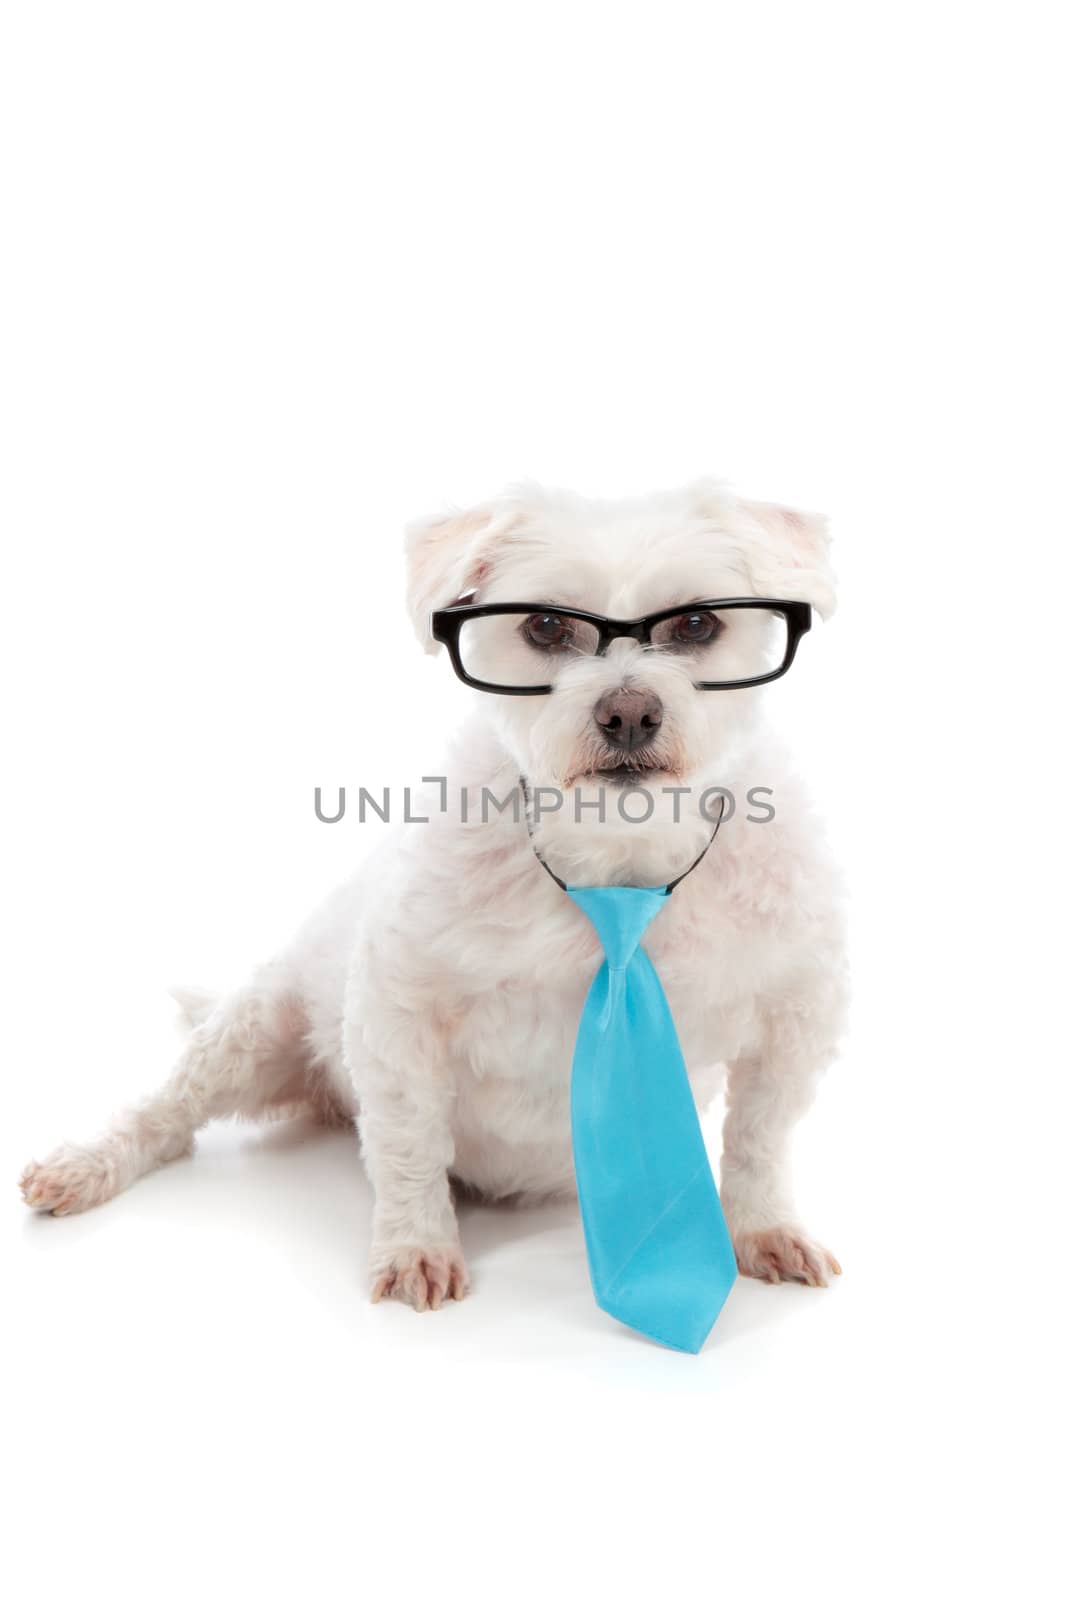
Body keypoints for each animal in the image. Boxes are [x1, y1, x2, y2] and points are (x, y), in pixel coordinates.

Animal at [19, 483, 845, 1312]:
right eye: (546, 625)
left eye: (698, 623)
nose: (629, 713)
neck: (616, 862)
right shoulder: (400, 1012)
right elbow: (409, 1142)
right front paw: (417, 1244)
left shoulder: (793, 1020)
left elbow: (759, 1140)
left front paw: (763, 1227)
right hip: (252, 1032)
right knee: (165, 1113)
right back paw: (87, 1163)